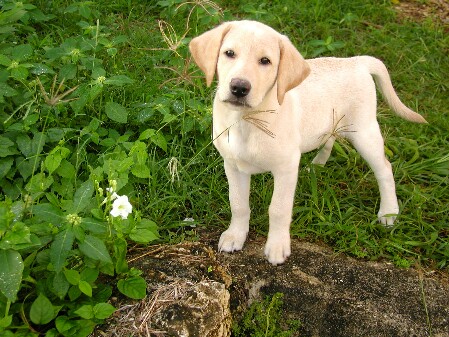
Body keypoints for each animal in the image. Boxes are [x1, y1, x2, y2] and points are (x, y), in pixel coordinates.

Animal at [187, 20, 426, 266]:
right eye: (229, 53)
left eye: (265, 61)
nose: (239, 87)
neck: (247, 120)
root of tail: (357, 61)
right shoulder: (233, 165)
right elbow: (238, 203)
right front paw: (235, 235)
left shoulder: (286, 168)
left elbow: (279, 209)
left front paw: (277, 246)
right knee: (329, 140)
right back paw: (316, 166)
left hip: (363, 132)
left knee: (385, 169)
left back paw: (389, 212)